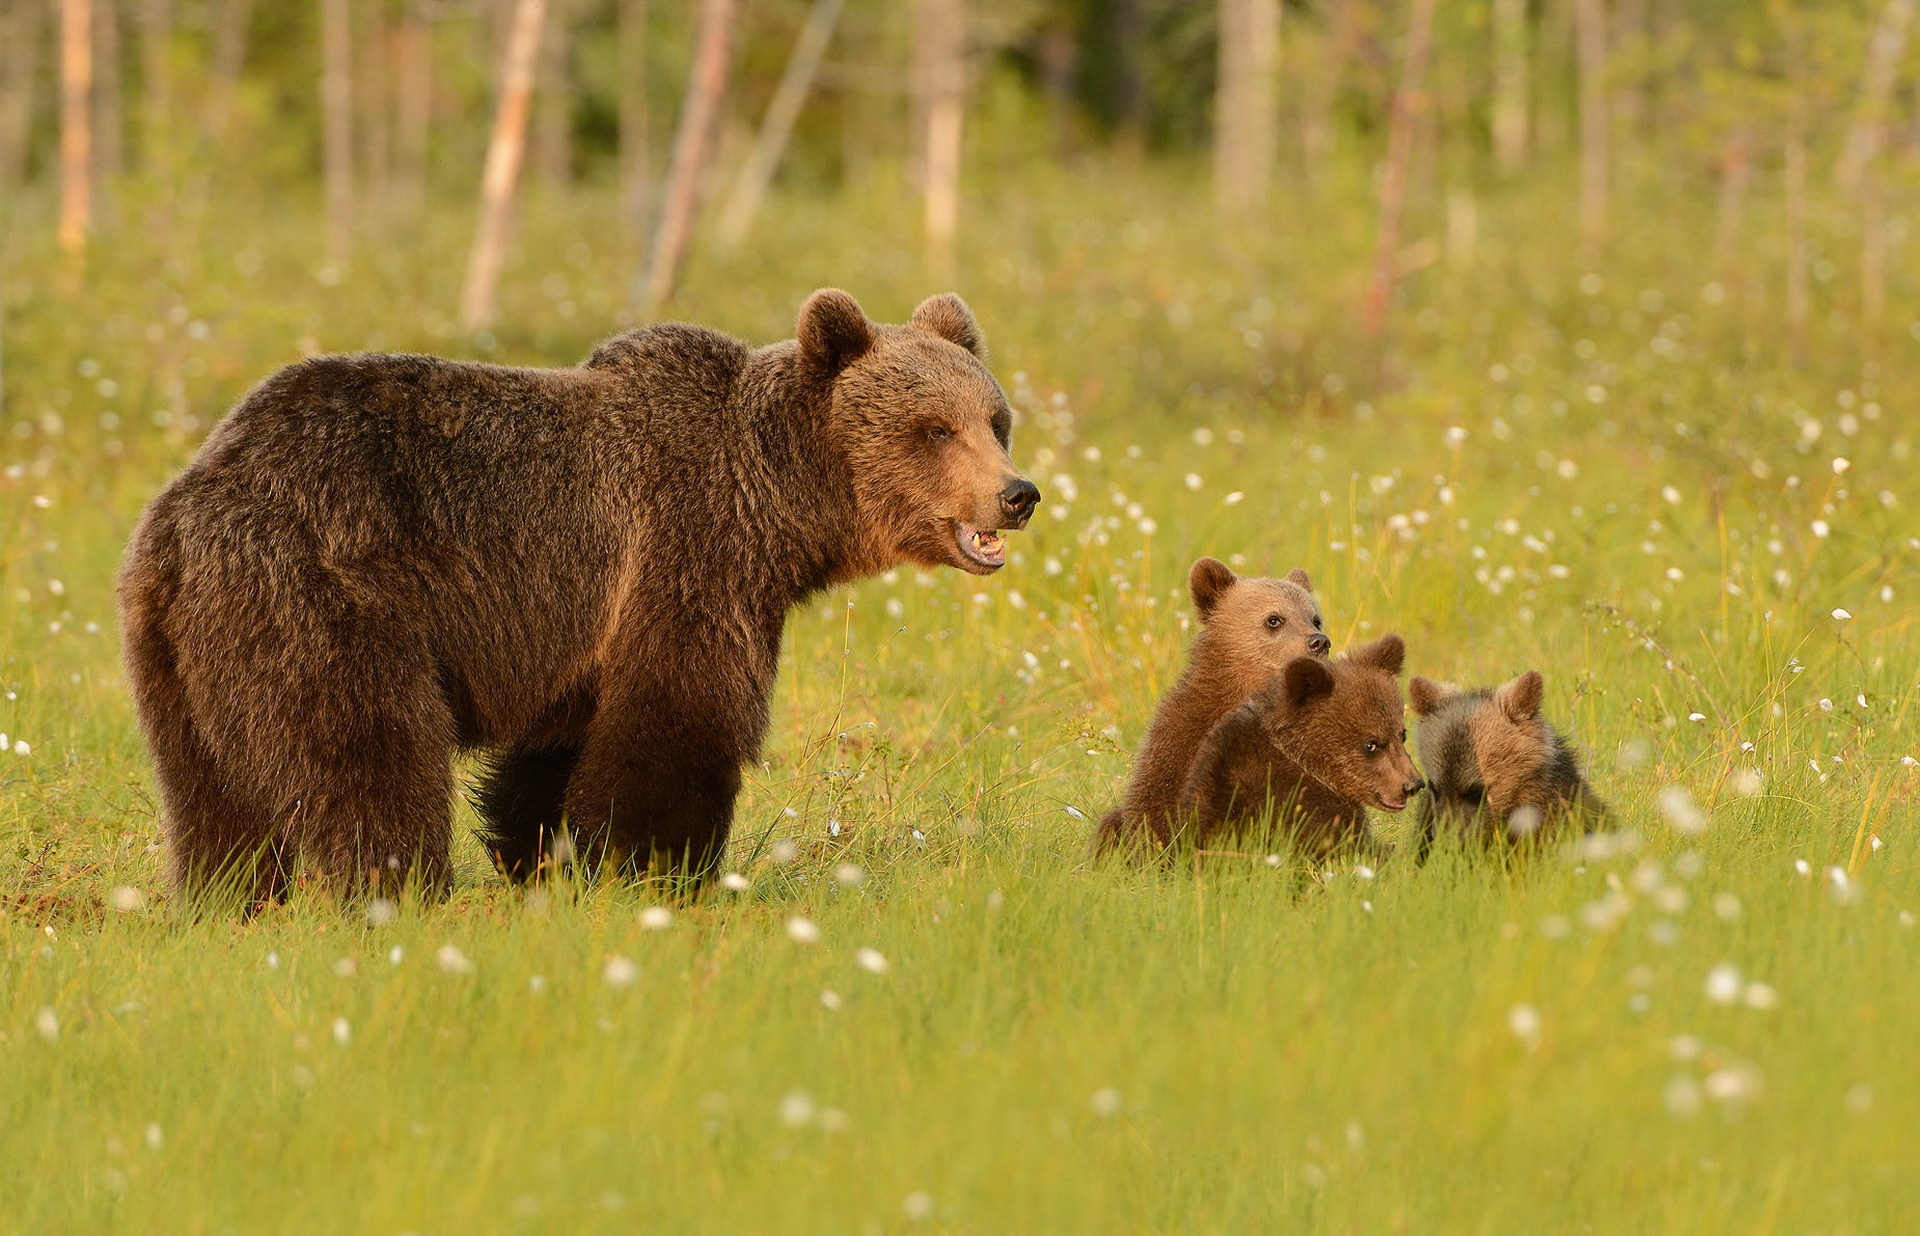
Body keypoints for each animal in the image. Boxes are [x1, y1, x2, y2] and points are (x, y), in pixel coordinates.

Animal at [120, 289, 1044, 905]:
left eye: (995, 419)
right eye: (934, 429)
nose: (1017, 494)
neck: (781, 507)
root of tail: (191, 503)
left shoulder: (588, 630)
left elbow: (556, 752)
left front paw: (542, 856)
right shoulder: (688, 554)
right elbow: (679, 724)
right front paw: (660, 874)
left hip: (182, 651)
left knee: (213, 794)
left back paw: (225, 899)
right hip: (327, 597)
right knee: (369, 757)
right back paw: (400, 894)